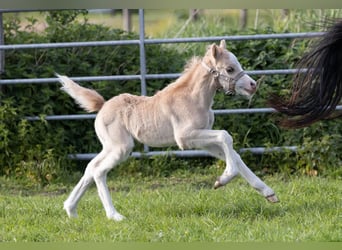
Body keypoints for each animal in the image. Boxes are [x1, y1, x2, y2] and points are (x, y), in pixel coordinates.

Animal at [58, 39, 278, 221]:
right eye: (230, 69)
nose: (252, 85)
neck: (194, 98)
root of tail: (102, 105)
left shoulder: (204, 141)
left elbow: (234, 154)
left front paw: (268, 193)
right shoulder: (185, 138)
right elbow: (226, 136)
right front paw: (221, 181)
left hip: (110, 146)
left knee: (91, 167)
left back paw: (71, 210)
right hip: (121, 147)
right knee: (98, 171)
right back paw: (115, 216)